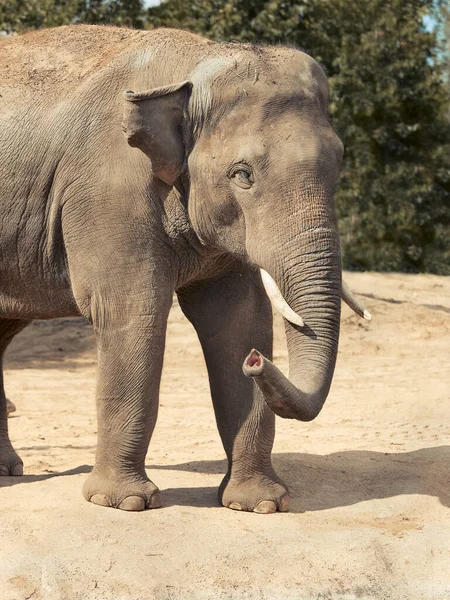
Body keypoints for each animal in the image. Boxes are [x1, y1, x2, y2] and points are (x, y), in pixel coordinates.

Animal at [0, 23, 370, 510]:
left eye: (338, 163)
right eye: (242, 174)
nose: (258, 362)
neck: (194, 64)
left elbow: (239, 319)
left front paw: (259, 504)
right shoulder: (107, 192)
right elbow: (133, 312)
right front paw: (125, 503)